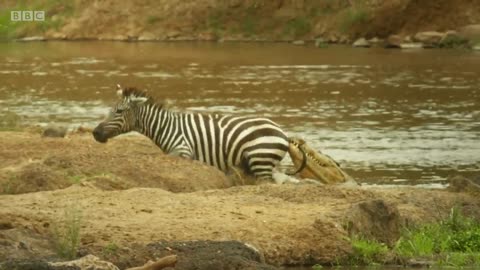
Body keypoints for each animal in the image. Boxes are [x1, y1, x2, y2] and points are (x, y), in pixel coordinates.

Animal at [92, 85, 302, 182]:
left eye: (119, 111)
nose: (95, 133)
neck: (166, 127)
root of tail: (282, 132)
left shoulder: (183, 150)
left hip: (261, 160)